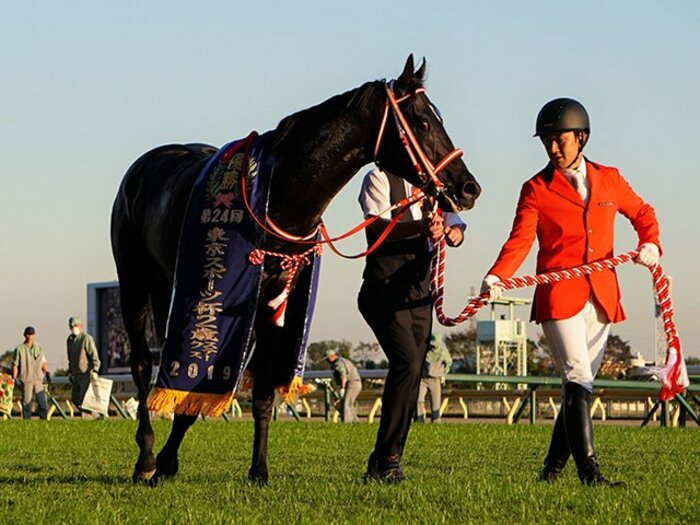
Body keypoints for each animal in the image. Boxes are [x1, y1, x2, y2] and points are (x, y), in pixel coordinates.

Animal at [110, 55, 481, 485]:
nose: (469, 188)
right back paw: (146, 459)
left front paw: (258, 470)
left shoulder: (276, 297)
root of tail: (146, 165)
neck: (280, 194)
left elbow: (261, 392)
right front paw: (167, 462)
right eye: (422, 122)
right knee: (142, 363)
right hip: (135, 280)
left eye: (438, 118)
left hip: (171, 283)